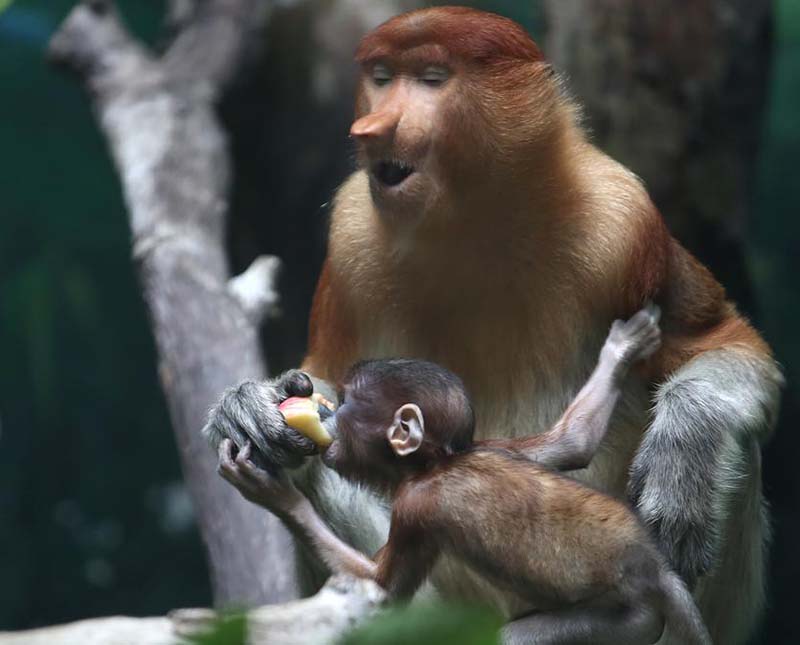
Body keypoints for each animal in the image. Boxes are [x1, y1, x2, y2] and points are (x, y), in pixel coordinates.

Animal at [220, 304, 712, 644]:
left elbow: (381, 589)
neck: (442, 461)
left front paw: (273, 493)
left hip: (626, 618)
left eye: (347, 402)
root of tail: (653, 567)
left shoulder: (416, 505)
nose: (327, 410)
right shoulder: (493, 446)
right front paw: (623, 347)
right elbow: (572, 442)